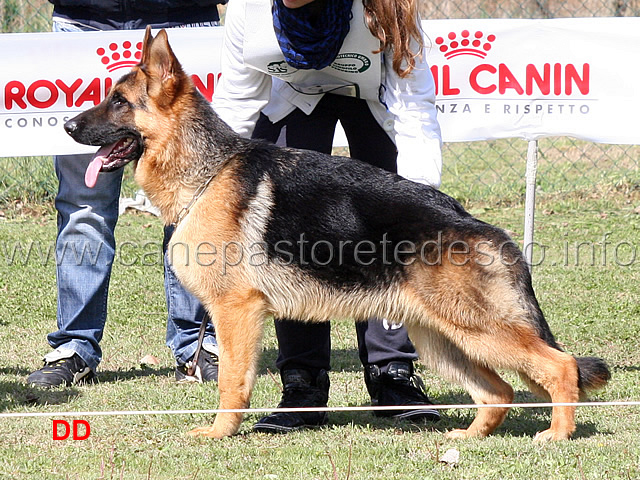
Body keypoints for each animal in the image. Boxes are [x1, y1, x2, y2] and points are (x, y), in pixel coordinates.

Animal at [63, 27, 608, 442]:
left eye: (119, 102)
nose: (67, 124)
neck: (207, 172)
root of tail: (474, 222)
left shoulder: (236, 311)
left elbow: (232, 382)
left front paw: (219, 433)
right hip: (442, 337)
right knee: (500, 392)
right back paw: (470, 438)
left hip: (477, 330)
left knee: (559, 367)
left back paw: (556, 435)